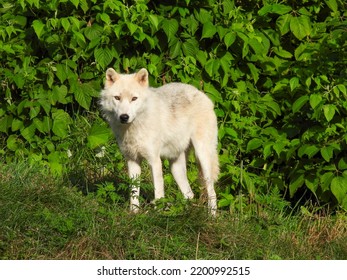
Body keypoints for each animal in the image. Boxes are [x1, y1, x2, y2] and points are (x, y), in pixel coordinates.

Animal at [100, 69, 220, 215]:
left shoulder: (155, 161)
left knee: (212, 192)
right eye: (117, 98)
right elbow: (133, 192)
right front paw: (134, 213)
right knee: (189, 194)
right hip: (175, 167)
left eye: (134, 98)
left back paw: (211, 216)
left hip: (203, 157)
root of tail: (202, 94)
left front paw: (158, 214)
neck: (133, 128)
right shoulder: (132, 160)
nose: (124, 117)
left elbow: (158, 194)